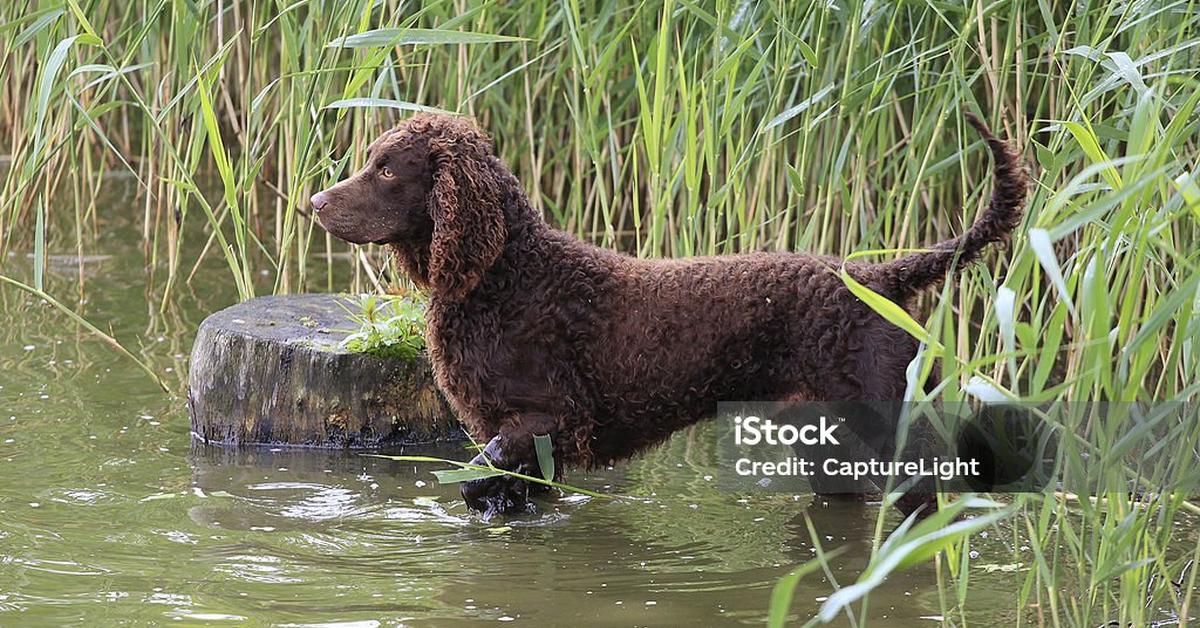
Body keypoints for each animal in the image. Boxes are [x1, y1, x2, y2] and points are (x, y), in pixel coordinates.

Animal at [314, 110, 1027, 518]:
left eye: (387, 170)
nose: (315, 202)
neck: (505, 275)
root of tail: (878, 277)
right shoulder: (531, 443)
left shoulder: (549, 418)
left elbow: (474, 480)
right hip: (828, 446)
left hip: (889, 429)